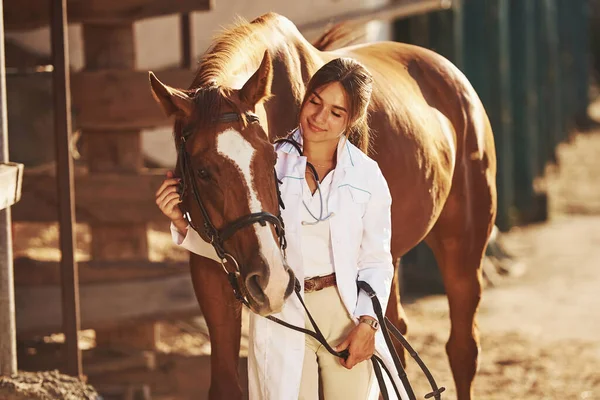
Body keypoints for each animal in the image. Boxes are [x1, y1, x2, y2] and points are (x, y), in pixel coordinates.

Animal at [150, 12, 496, 400]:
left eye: (272, 157)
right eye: (202, 171)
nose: (270, 281)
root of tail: (451, 74)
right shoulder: (211, 271)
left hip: (463, 247)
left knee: (462, 347)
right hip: (387, 257)